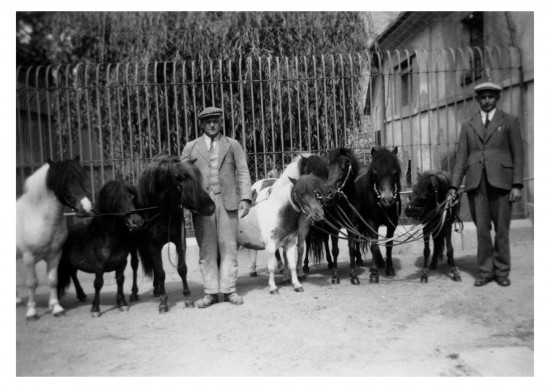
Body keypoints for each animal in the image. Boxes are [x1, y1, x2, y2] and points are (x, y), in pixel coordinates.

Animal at [57, 180, 144, 316]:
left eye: (133, 198)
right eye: (117, 200)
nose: (137, 222)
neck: (108, 239)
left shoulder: (121, 264)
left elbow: (120, 280)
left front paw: (122, 304)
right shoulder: (99, 267)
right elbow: (98, 284)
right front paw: (95, 309)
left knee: (73, 274)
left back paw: (81, 295)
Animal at [138, 153, 216, 314]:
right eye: (186, 186)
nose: (212, 208)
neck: (164, 212)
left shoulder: (180, 242)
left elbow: (182, 268)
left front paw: (188, 298)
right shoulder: (153, 246)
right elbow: (161, 272)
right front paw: (163, 302)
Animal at [352, 147, 404, 284]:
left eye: (394, 173)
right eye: (375, 173)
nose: (387, 200)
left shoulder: (393, 223)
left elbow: (389, 245)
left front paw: (390, 268)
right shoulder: (371, 222)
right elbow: (374, 246)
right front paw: (374, 274)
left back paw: (380, 262)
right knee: (357, 239)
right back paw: (360, 261)